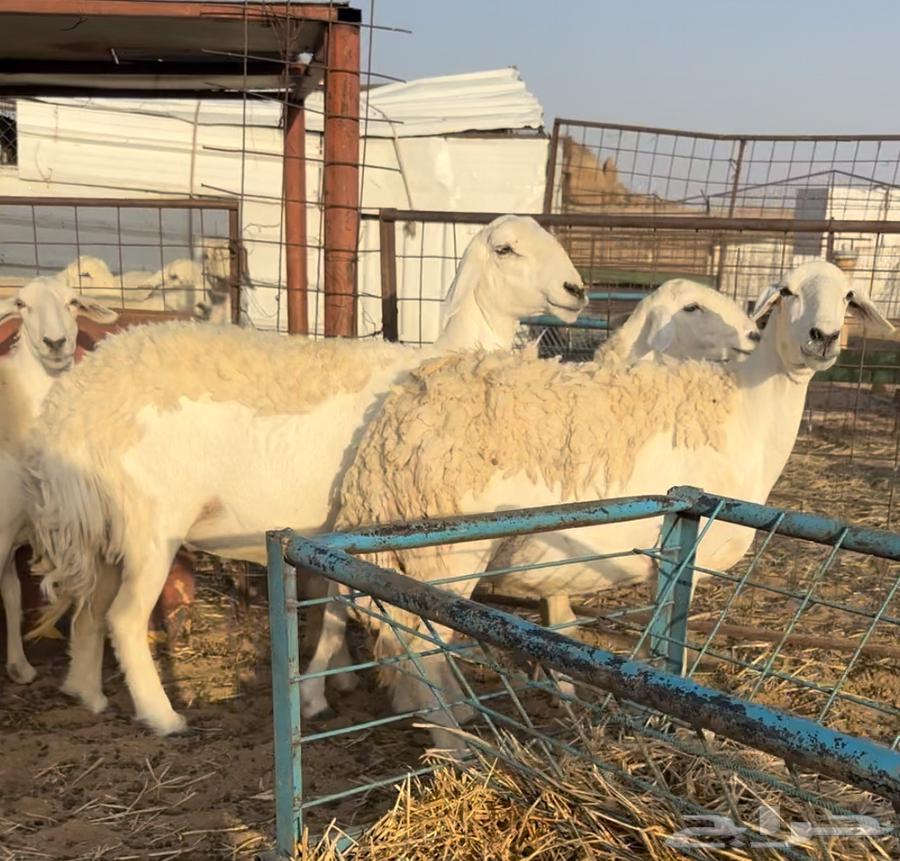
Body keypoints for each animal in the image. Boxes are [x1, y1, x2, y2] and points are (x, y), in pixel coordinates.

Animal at [23, 214, 587, 735]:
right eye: (506, 248)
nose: (576, 290)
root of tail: (75, 403)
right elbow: (343, 614)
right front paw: (325, 694)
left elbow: (331, 609)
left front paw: (341, 679)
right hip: (152, 523)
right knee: (123, 617)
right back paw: (162, 716)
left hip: (106, 526)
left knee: (89, 608)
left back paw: (87, 692)